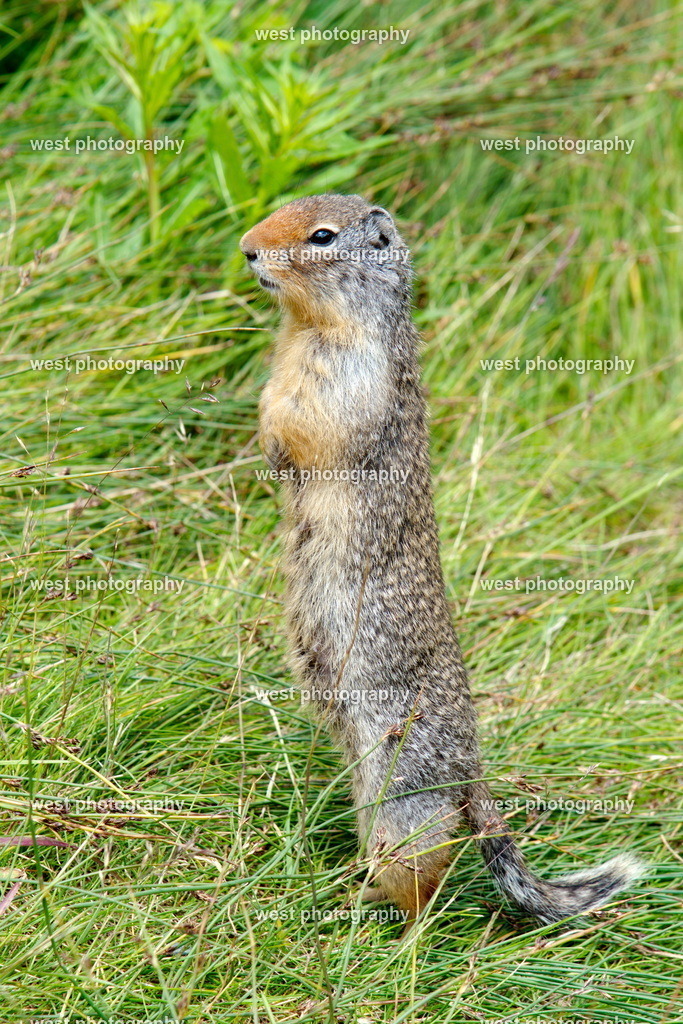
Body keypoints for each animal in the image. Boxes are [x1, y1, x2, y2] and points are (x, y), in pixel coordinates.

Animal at [240, 194, 645, 929]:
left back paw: (394, 930)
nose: (247, 248)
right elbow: (269, 406)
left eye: (321, 236)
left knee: (427, 876)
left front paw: (278, 447)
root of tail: (470, 765)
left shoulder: (347, 384)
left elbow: (311, 426)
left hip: (405, 794)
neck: (308, 328)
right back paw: (358, 890)